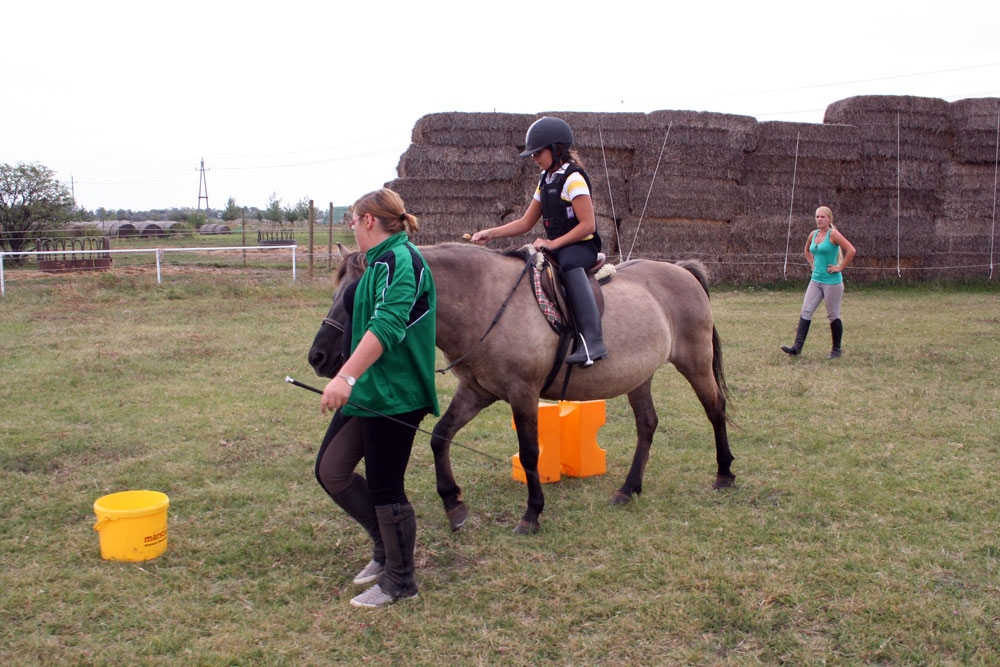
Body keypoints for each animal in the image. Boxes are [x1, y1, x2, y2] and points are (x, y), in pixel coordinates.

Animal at [308, 243, 740, 536]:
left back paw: (724, 473)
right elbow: (440, 437)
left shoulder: (523, 394)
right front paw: (452, 502)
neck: (486, 301)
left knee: (715, 410)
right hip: (639, 377)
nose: (318, 357)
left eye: (359, 297)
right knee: (647, 425)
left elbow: (531, 454)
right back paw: (628, 489)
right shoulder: (477, 392)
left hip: (695, 362)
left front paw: (532, 513)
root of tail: (682, 271)